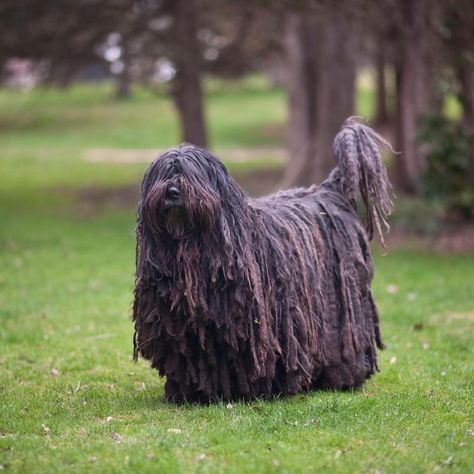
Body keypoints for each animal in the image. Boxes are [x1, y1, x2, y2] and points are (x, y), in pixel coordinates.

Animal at [131, 116, 392, 402]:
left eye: (191, 174)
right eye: (164, 174)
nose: (173, 191)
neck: (191, 250)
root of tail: (330, 191)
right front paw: (187, 392)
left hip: (345, 302)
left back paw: (343, 377)